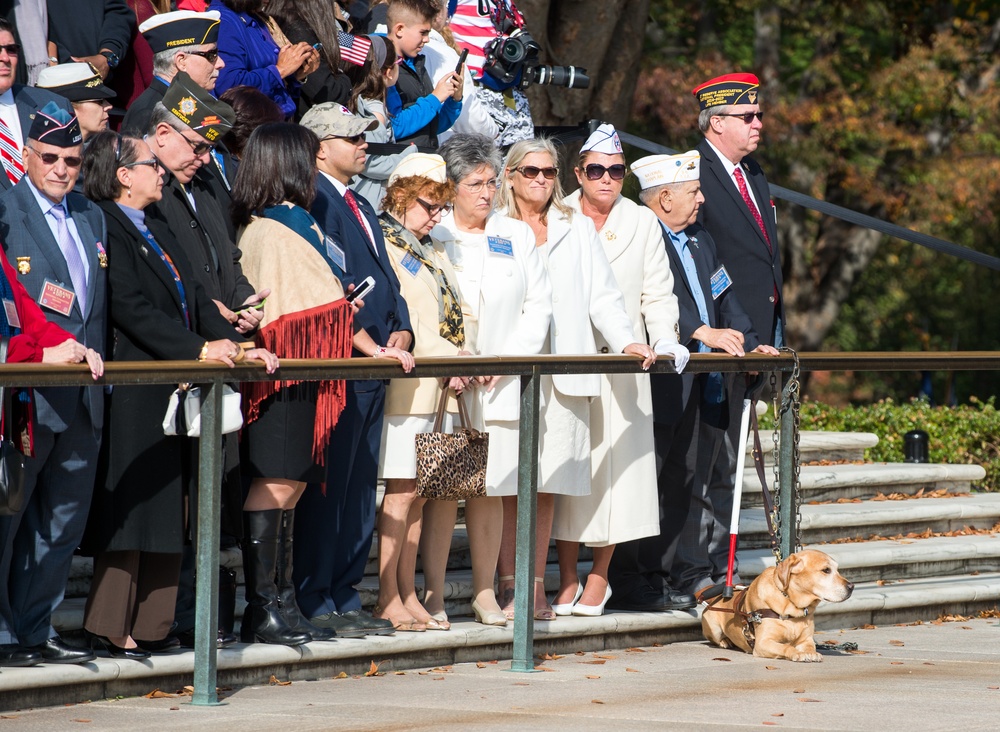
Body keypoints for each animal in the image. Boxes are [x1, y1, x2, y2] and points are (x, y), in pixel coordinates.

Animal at [704, 548, 852, 664]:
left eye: (837, 569)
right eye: (826, 570)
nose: (851, 586)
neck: (790, 604)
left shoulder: (806, 640)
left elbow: (810, 647)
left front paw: (811, 653)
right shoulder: (763, 643)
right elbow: (785, 647)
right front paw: (796, 653)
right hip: (714, 629)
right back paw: (725, 641)